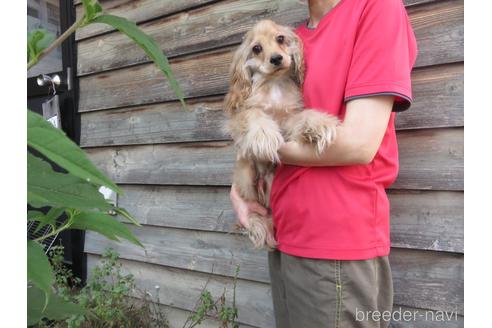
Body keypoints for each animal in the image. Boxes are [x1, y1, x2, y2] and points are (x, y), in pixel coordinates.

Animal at [223, 19, 338, 249]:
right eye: (256, 48)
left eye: (280, 38)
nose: (276, 58)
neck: (274, 84)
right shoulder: (239, 118)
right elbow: (254, 114)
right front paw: (264, 136)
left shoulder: (288, 117)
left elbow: (302, 117)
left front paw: (319, 123)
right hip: (246, 175)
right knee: (252, 211)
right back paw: (259, 227)